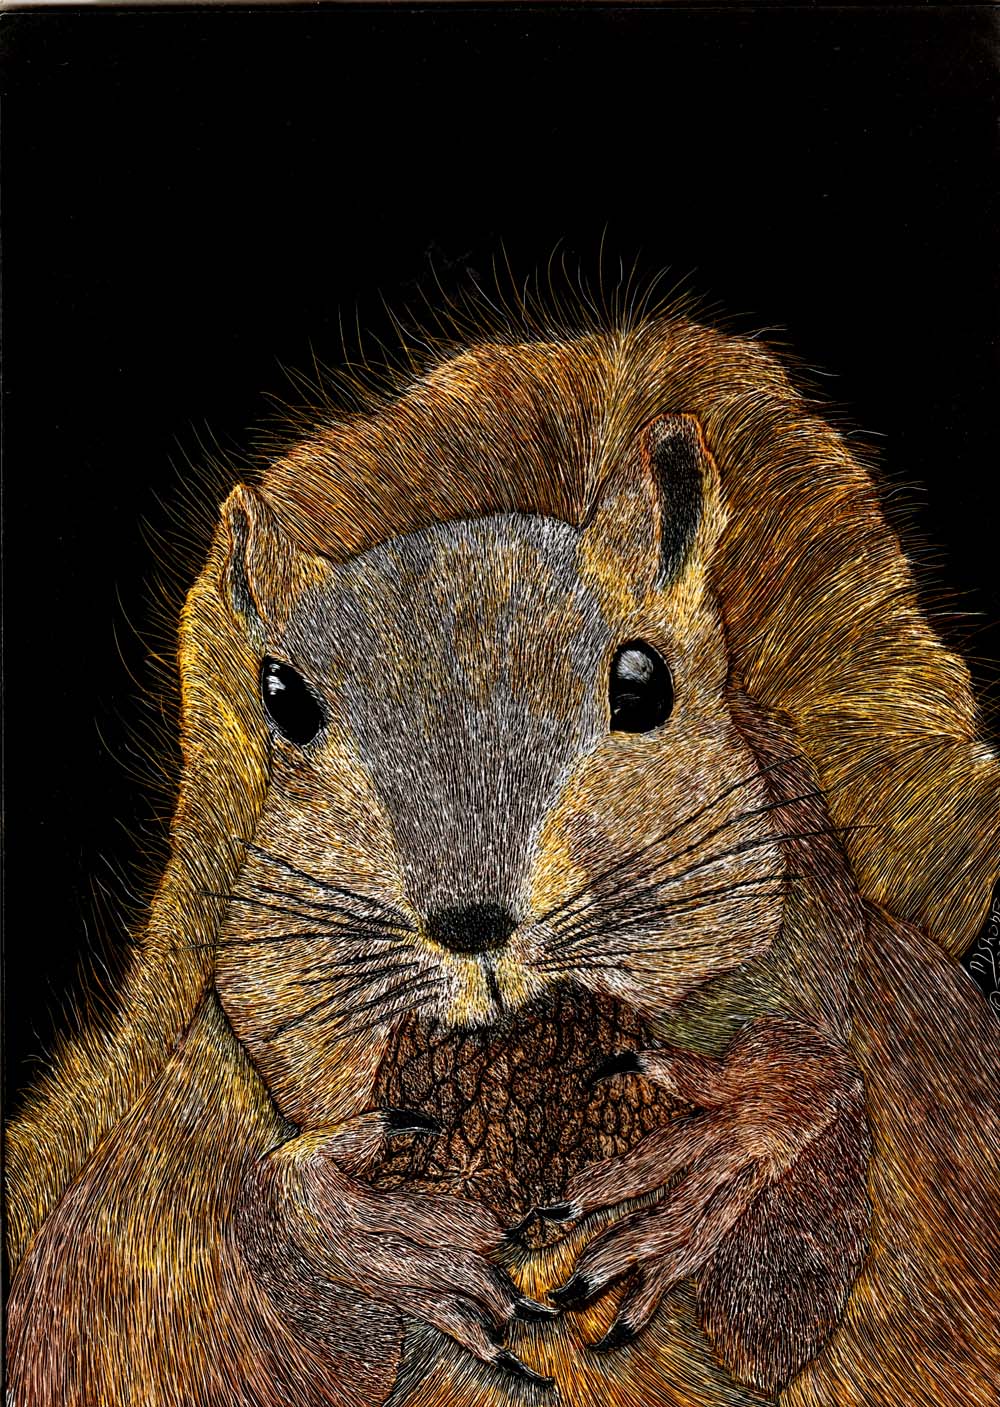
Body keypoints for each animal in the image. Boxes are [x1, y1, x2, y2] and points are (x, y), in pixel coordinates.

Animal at [6, 312, 1000, 1407]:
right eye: (284, 700)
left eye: (642, 682)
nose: (471, 923)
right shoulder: (203, 1116)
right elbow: (206, 1274)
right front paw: (358, 1226)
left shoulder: (833, 950)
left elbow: (804, 1188)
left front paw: (730, 1145)